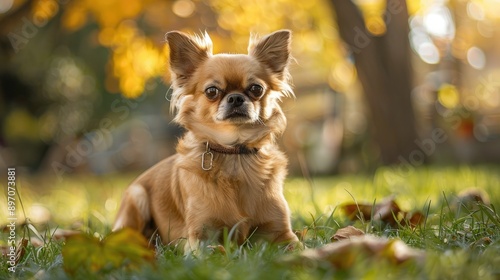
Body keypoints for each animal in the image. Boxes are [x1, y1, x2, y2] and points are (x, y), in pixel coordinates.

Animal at [113, 29, 298, 252]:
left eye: (256, 89)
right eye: (212, 91)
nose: (236, 98)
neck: (234, 154)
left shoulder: (282, 234)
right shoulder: (201, 238)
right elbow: (218, 251)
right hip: (137, 196)